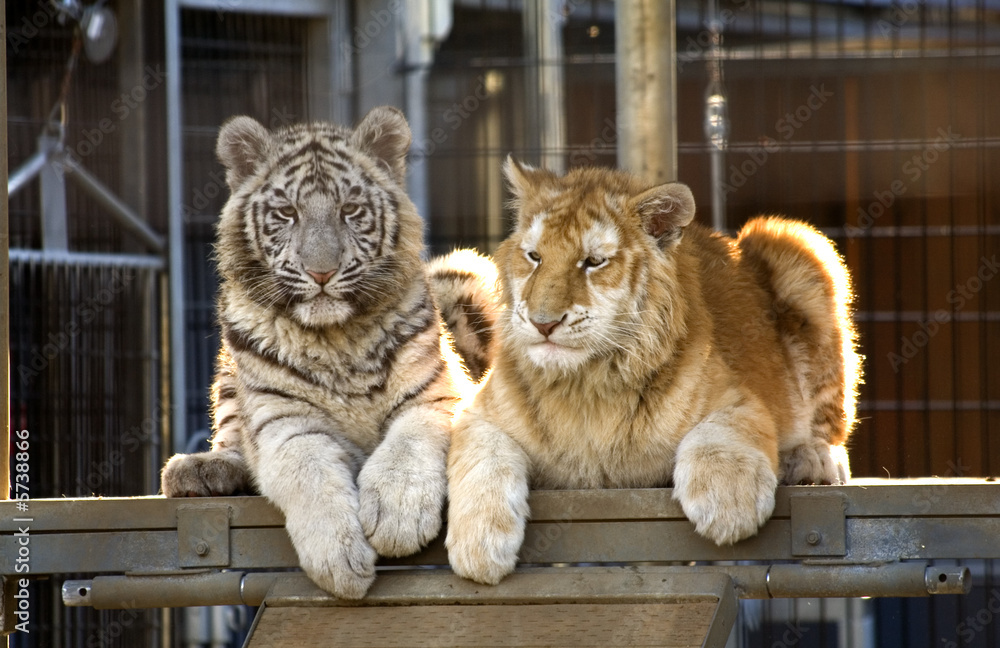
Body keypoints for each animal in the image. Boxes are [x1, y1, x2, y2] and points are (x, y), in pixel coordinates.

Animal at [160, 106, 496, 600]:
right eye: (287, 212)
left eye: (349, 210)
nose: (321, 272)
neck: (335, 337)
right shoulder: (284, 420)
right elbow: (308, 471)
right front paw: (340, 561)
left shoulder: (437, 397)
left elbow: (409, 445)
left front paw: (396, 516)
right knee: (230, 432)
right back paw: (201, 469)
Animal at [445, 160, 862, 585]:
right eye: (534, 256)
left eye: (593, 261)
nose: (543, 323)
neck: (586, 383)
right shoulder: (477, 414)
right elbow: (483, 459)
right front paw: (479, 546)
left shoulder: (739, 399)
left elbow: (719, 436)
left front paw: (728, 504)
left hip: (798, 246)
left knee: (832, 423)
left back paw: (814, 462)